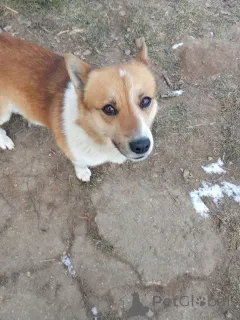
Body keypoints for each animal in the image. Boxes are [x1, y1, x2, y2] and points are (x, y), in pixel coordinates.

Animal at [0, 34, 158, 182]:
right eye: (108, 109)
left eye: (145, 101)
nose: (142, 146)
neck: (90, 130)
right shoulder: (72, 152)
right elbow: (79, 163)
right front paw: (82, 172)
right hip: (4, 113)